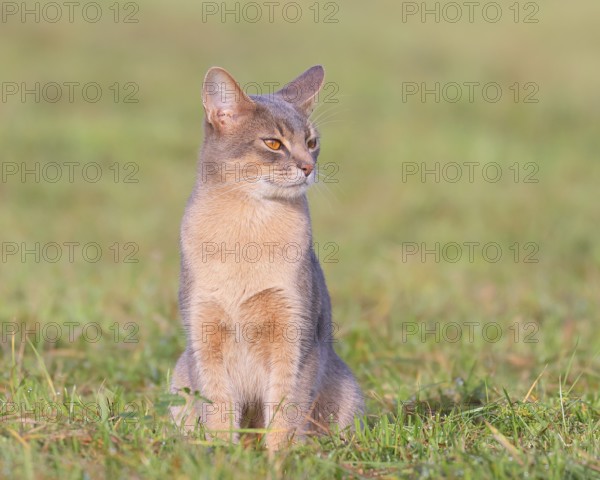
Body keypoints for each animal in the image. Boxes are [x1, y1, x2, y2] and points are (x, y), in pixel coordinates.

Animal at [171, 64, 364, 450]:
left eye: (311, 142)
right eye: (273, 143)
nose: (307, 167)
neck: (246, 233)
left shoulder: (294, 334)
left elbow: (284, 412)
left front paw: (280, 458)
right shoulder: (203, 332)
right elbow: (218, 409)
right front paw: (222, 455)